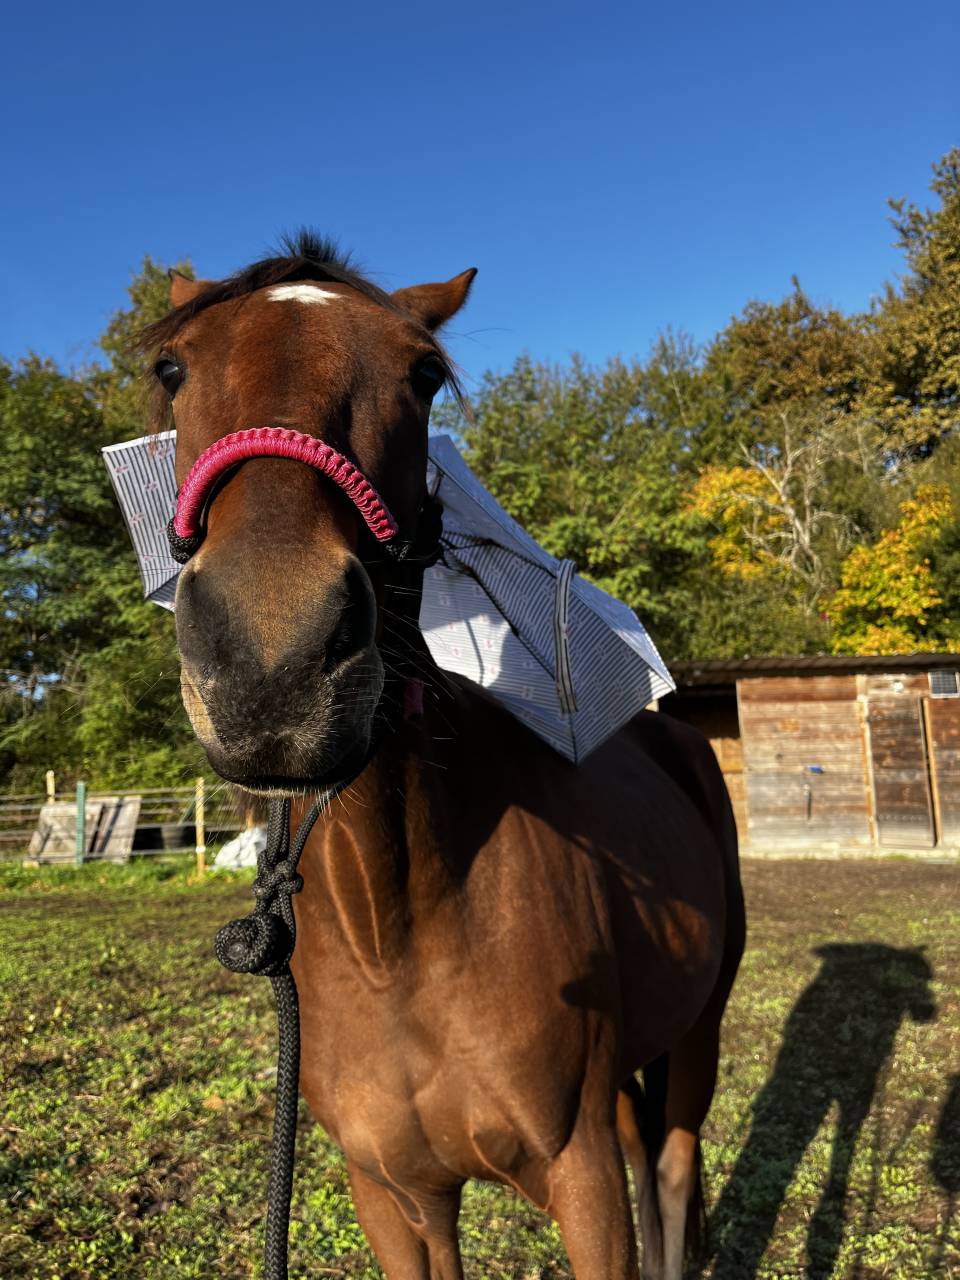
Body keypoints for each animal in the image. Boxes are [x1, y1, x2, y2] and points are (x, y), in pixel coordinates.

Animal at [139, 233, 745, 1280]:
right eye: (173, 368)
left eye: (423, 375)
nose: (270, 659)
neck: (398, 931)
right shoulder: (392, 1193)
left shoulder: (581, 1178)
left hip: (699, 1029)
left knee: (670, 1167)